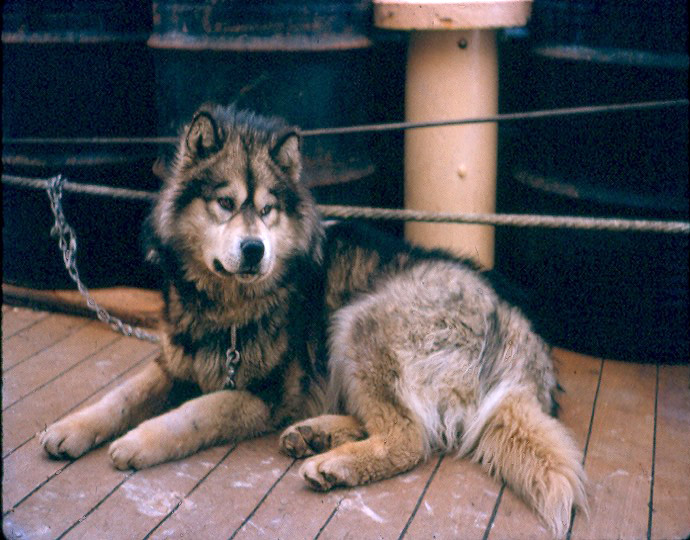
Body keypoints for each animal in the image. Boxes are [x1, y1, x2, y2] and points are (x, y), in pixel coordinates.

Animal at [40, 104, 584, 536]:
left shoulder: (263, 394)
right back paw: (315, 434)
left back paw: (335, 464)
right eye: (225, 203)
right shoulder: (174, 362)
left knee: (411, 438)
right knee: (399, 423)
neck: (228, 306)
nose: (254, 249)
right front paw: (71, 428)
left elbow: (195, 412)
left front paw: (136, 442)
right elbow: (121, 395)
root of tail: (518, 328)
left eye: (267, 209)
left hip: (359, 320)